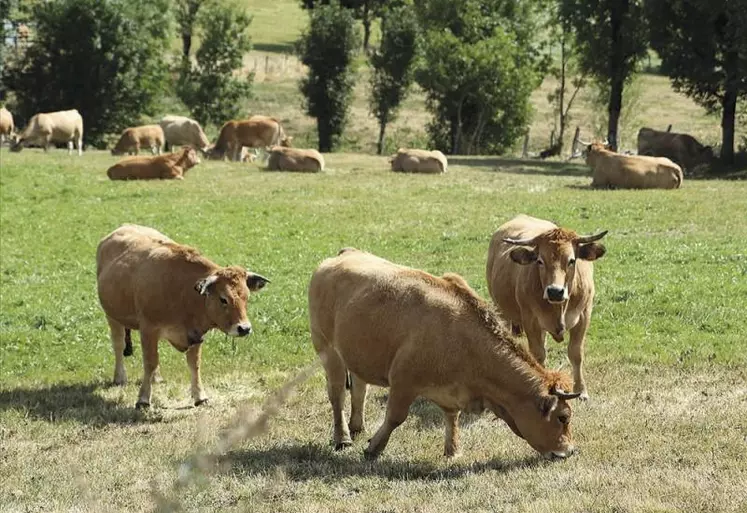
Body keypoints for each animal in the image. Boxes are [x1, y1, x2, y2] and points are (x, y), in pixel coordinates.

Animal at [97, 224, 272, 408]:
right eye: (223, 299)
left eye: (247, 297)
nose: (244, 328)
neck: (183, 292)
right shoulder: (148, 329)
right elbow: (149, 362)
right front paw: (143, 399)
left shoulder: (195, 334)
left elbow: (194, 364)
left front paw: (200, 396)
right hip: (112, 316)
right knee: (118, 345)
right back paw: (120, 377)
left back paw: (156, 377)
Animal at [310, 248, 584, 460]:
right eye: (563, 417)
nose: (569, 451)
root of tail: (343, 255)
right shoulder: (403, 382)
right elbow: (395, 417)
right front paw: (374, 448)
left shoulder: (452, 390)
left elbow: (452, 417)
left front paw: (453, 450)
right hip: (327, 350)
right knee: (337, 395)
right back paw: (343, 437)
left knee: (359, 387)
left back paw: (357, 426)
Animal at [486, 214, 608, 398]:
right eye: (540, 261)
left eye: (571, 260)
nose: (555, 291)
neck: (559, 307)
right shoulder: (531, 321)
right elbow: (538, 355)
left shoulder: (584, 316)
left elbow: (576, 353)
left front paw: (581, 390)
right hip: (502, 312)